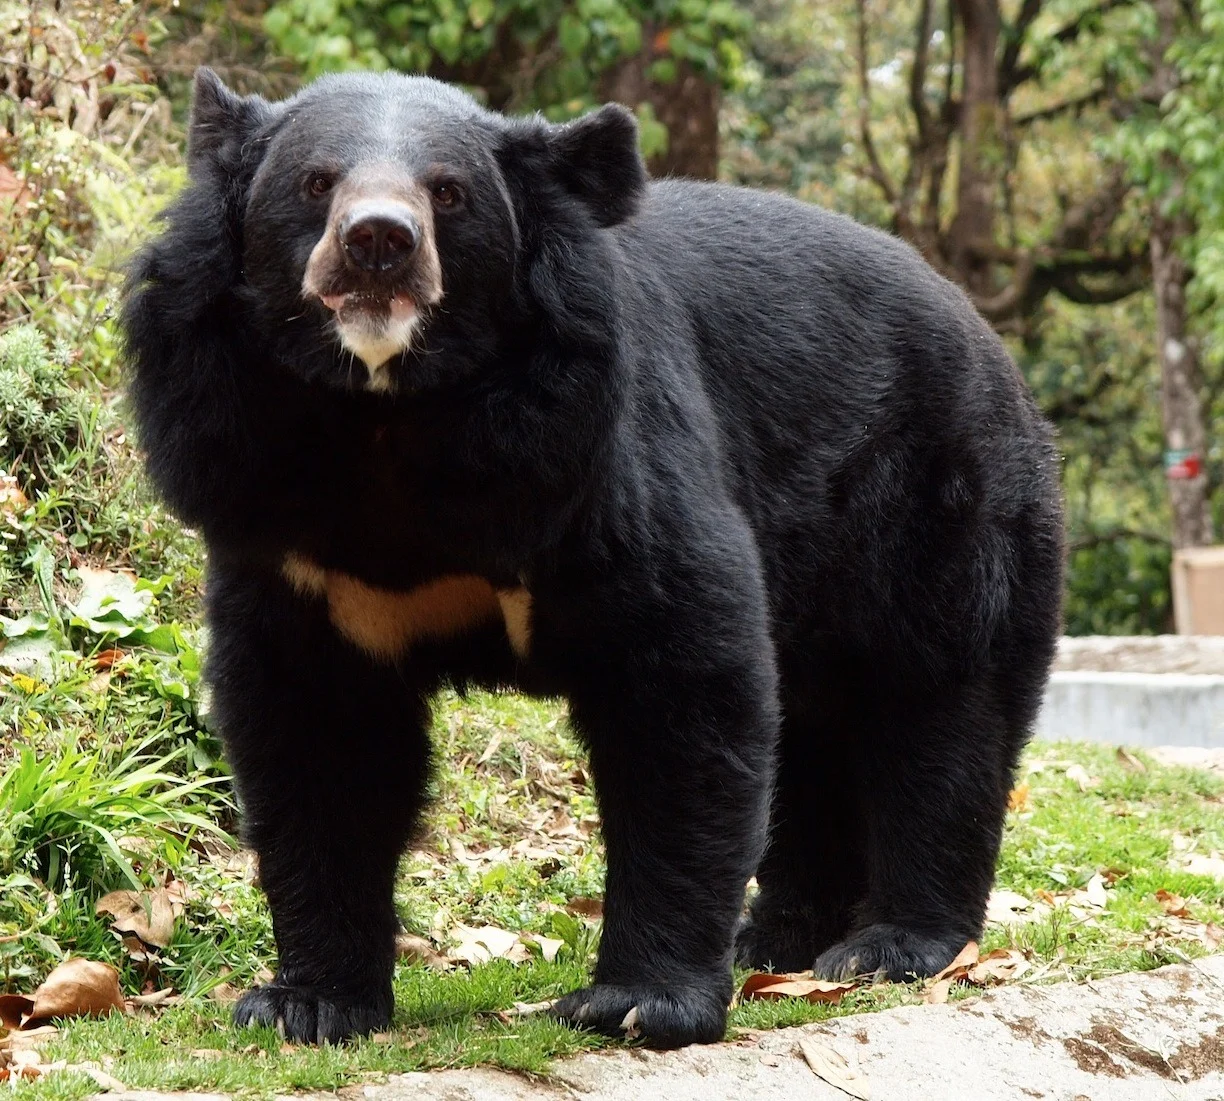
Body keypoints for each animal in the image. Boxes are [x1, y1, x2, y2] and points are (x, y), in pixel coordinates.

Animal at [121, 67, 1064, 1049]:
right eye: (316, 182)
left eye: (447, 193)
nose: (378, 241)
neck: (389, 413)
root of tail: (993, 346)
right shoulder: (279, 517)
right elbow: (317, 730)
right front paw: (304, 1002)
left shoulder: (594, 452)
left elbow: (680, 682)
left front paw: (637, 1000)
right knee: (815, 730)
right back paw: (777, 938)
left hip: (938, 505)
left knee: (936, 706)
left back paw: (894, 944)